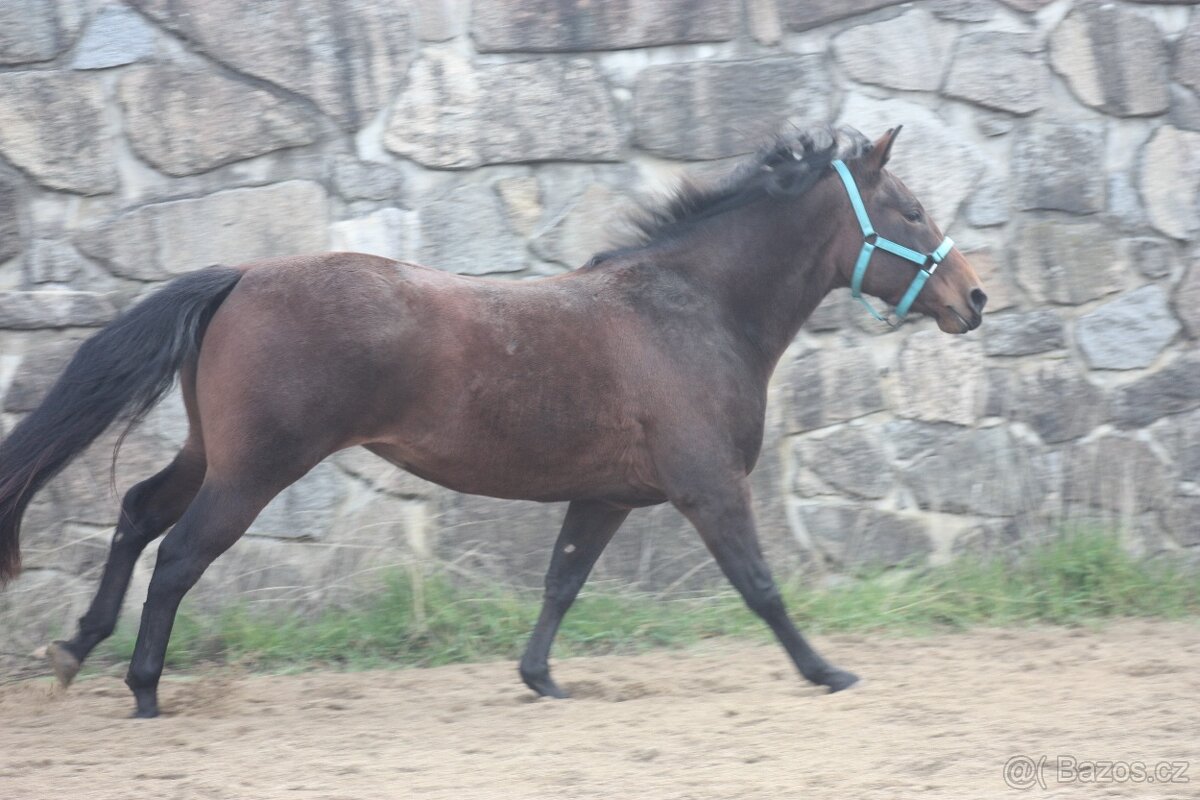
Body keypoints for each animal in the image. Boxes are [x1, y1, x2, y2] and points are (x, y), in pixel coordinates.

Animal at [0, 125, 986, 718]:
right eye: (910, 210)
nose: (973, 298)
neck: (690, 310)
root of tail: (240, 275)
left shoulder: (608, 496)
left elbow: (561, 582)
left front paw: (540, 678)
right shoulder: (708, 487)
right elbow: (761, 585)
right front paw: (827, 671)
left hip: (214, 455)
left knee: (136, 514)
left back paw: (76, 648)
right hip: (253, 471)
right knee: (175, 557)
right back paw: (143, 688)